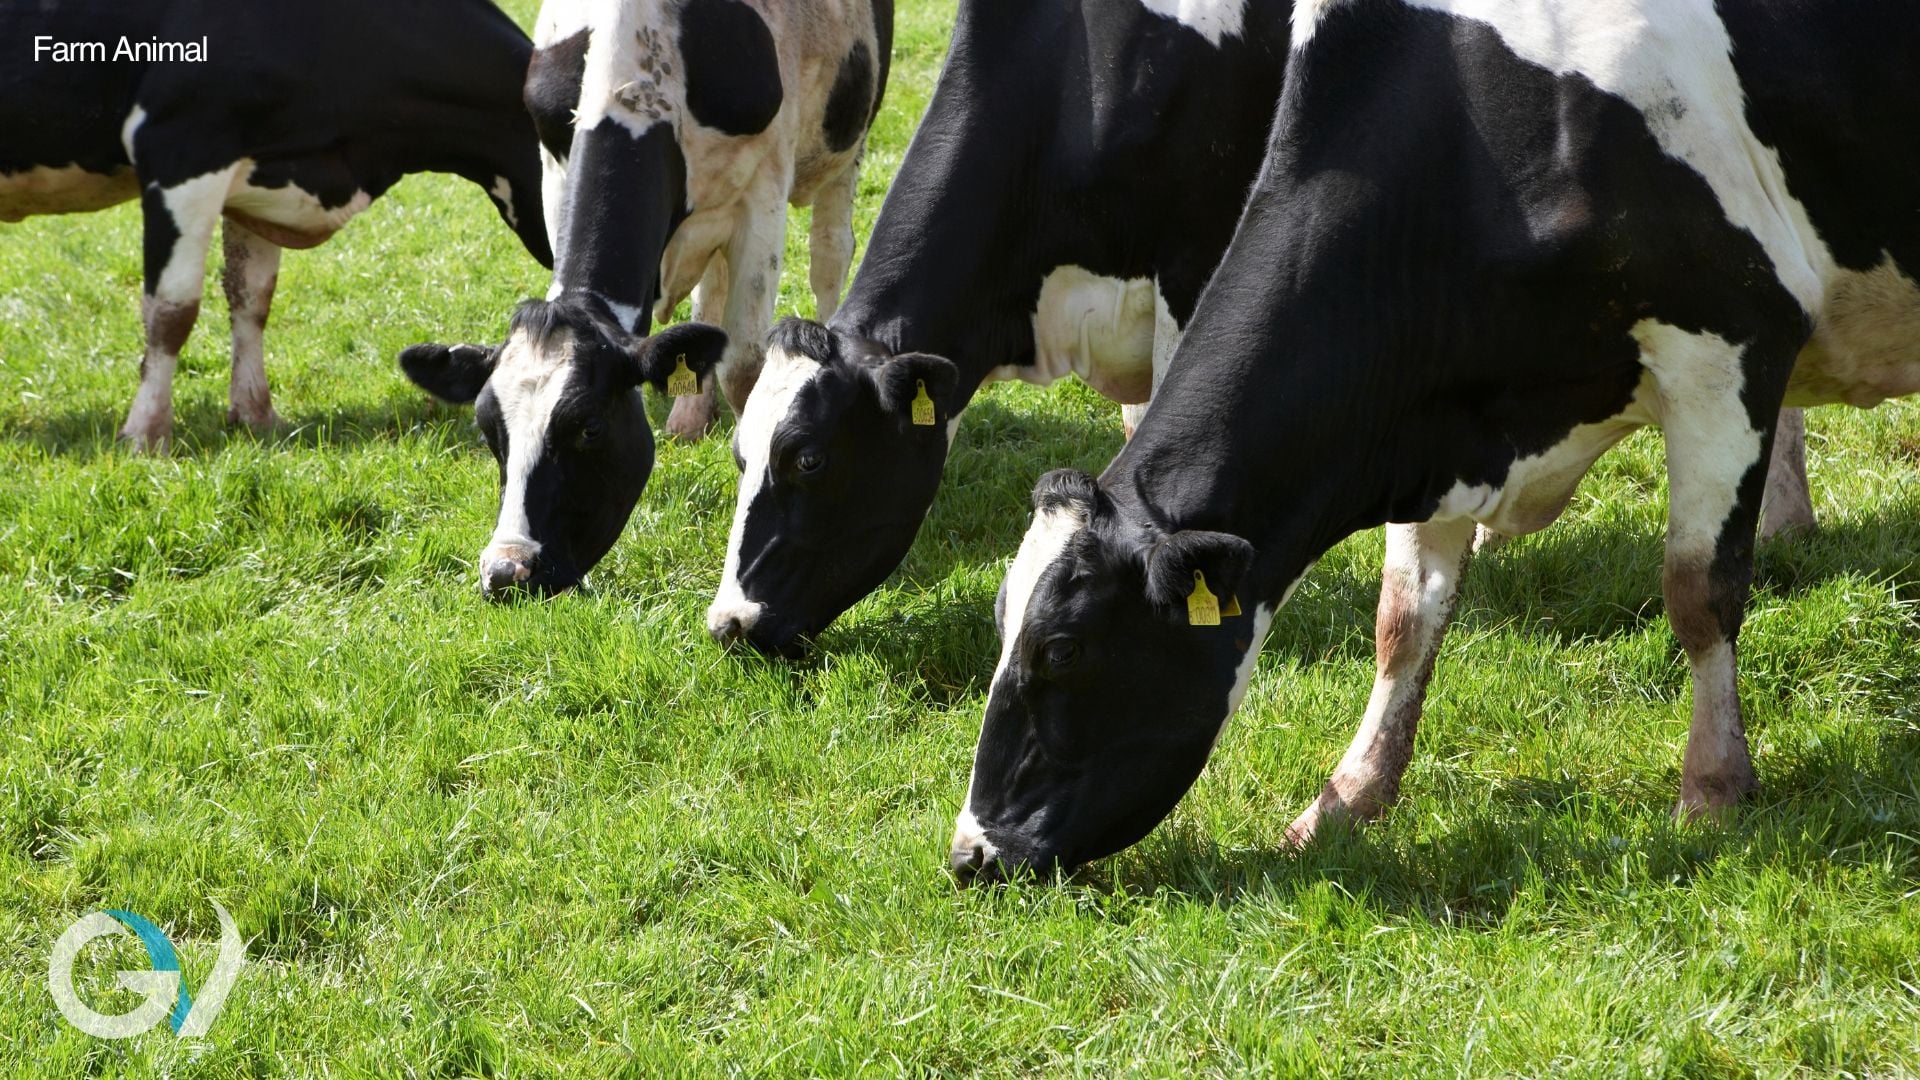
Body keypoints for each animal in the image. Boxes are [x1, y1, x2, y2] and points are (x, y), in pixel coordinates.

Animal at [0, 0, 554, 452]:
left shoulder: (258, 175)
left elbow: (252, 298)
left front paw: (256, 415)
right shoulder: (180, 150)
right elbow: (172, 311)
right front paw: (146, 434)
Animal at [400, 0, 890, 598]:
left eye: (590, 428)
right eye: (489, 429)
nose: (506, 571)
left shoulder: (765, 189)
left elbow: (745, 368)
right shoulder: (553, 170)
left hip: (846, 140)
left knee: (829, 256)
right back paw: (688, 414)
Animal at [951, 0, 1920, 882]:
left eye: (1064, 649)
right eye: (1000, 626)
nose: (971, 854)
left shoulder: (1730, 349)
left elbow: (1698, 592)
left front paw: (1714, 790)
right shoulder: (1427, 421)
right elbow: (1403, 620)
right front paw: (1345, 801)